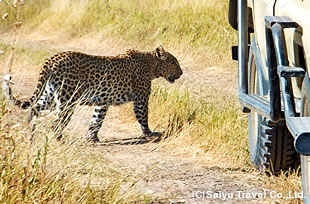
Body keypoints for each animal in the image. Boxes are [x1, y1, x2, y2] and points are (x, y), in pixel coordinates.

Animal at [16, 45, 182, 143]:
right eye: (173, 63)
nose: (181, 73)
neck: (151, 65)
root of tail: (52, 58)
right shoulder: (141, 98)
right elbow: (143, 118)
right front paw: (149, 134)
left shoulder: (103, 102)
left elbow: (97, 120)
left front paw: (92, 137)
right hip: (68, 98)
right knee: (57, 121)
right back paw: (59, 140)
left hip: (50, 94)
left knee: (34, 109)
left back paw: (29, 134)